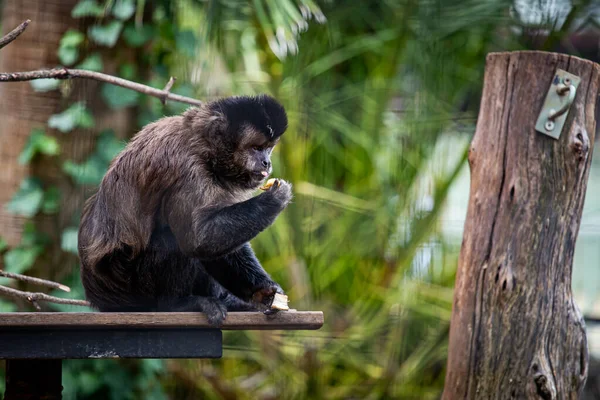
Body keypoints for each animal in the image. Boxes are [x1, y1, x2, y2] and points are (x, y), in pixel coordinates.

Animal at [77, 94, 292, 324]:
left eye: (268, 148)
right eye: (256, 148)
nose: (267, 162)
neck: (204, 149)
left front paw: (263, 292)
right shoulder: (187, 169)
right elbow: (197, 239)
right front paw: (275, 199)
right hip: (131, 288)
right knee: (172, 238)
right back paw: (176, 304)